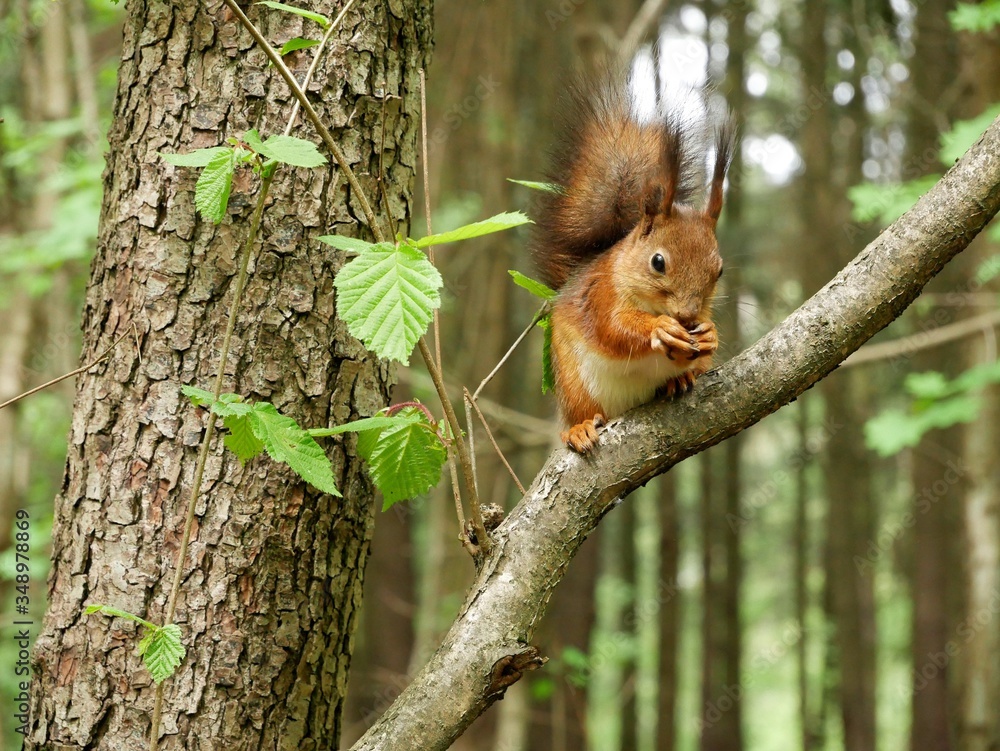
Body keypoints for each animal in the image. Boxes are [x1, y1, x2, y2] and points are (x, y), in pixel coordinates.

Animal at [533, 74, 735, 453]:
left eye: (719, 270)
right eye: (657, 262)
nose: (688, 317)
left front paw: (709, 335)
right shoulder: (601, 294)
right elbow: (613, 329)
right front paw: (659, 329)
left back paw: (678, 380)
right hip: (572, 378)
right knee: (581, 409)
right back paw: (579, 428)